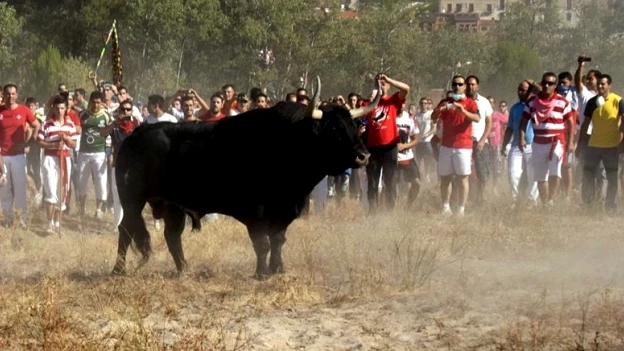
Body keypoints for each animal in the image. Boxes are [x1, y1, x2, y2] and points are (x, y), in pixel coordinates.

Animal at [111, 88, 380, 278]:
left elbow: (277, 240)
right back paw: (118, 270)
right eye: (334, 128)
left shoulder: (284, 210)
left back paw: (184, 269)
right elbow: (262, 243)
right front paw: (261, 273)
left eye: (354, 125)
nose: (364, 156)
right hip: (132, 200)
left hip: (172, 205)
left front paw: (277, 269)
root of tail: (135, 135)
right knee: (125, 230)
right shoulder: (256, 212)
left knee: (171, 236)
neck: (289, 141)